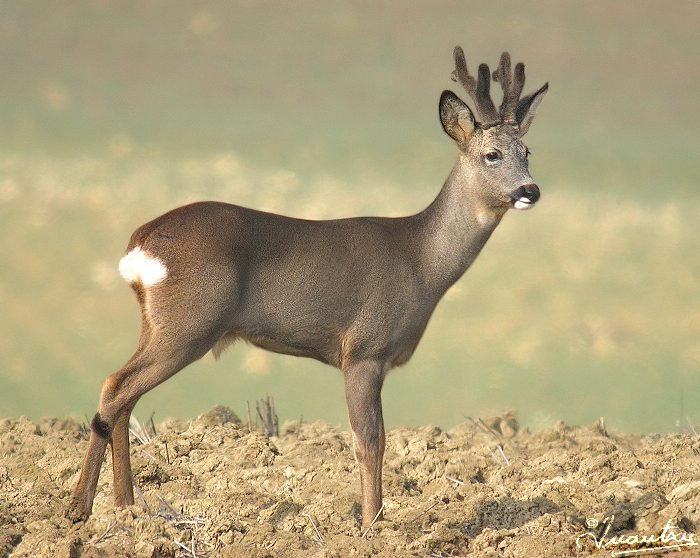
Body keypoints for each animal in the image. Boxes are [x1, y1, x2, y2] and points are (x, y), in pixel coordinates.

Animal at [69, 47, 548, 528]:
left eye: (527, 150)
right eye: (491, 154)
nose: (531, 190)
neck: (421, 262)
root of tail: (139, 245)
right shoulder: (363, 350)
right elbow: (370, 441)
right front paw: (372, 524)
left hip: (157, 324)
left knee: (125, 398)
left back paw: (125, 507)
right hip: (189, 324)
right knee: (114, 386)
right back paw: (79, 508)